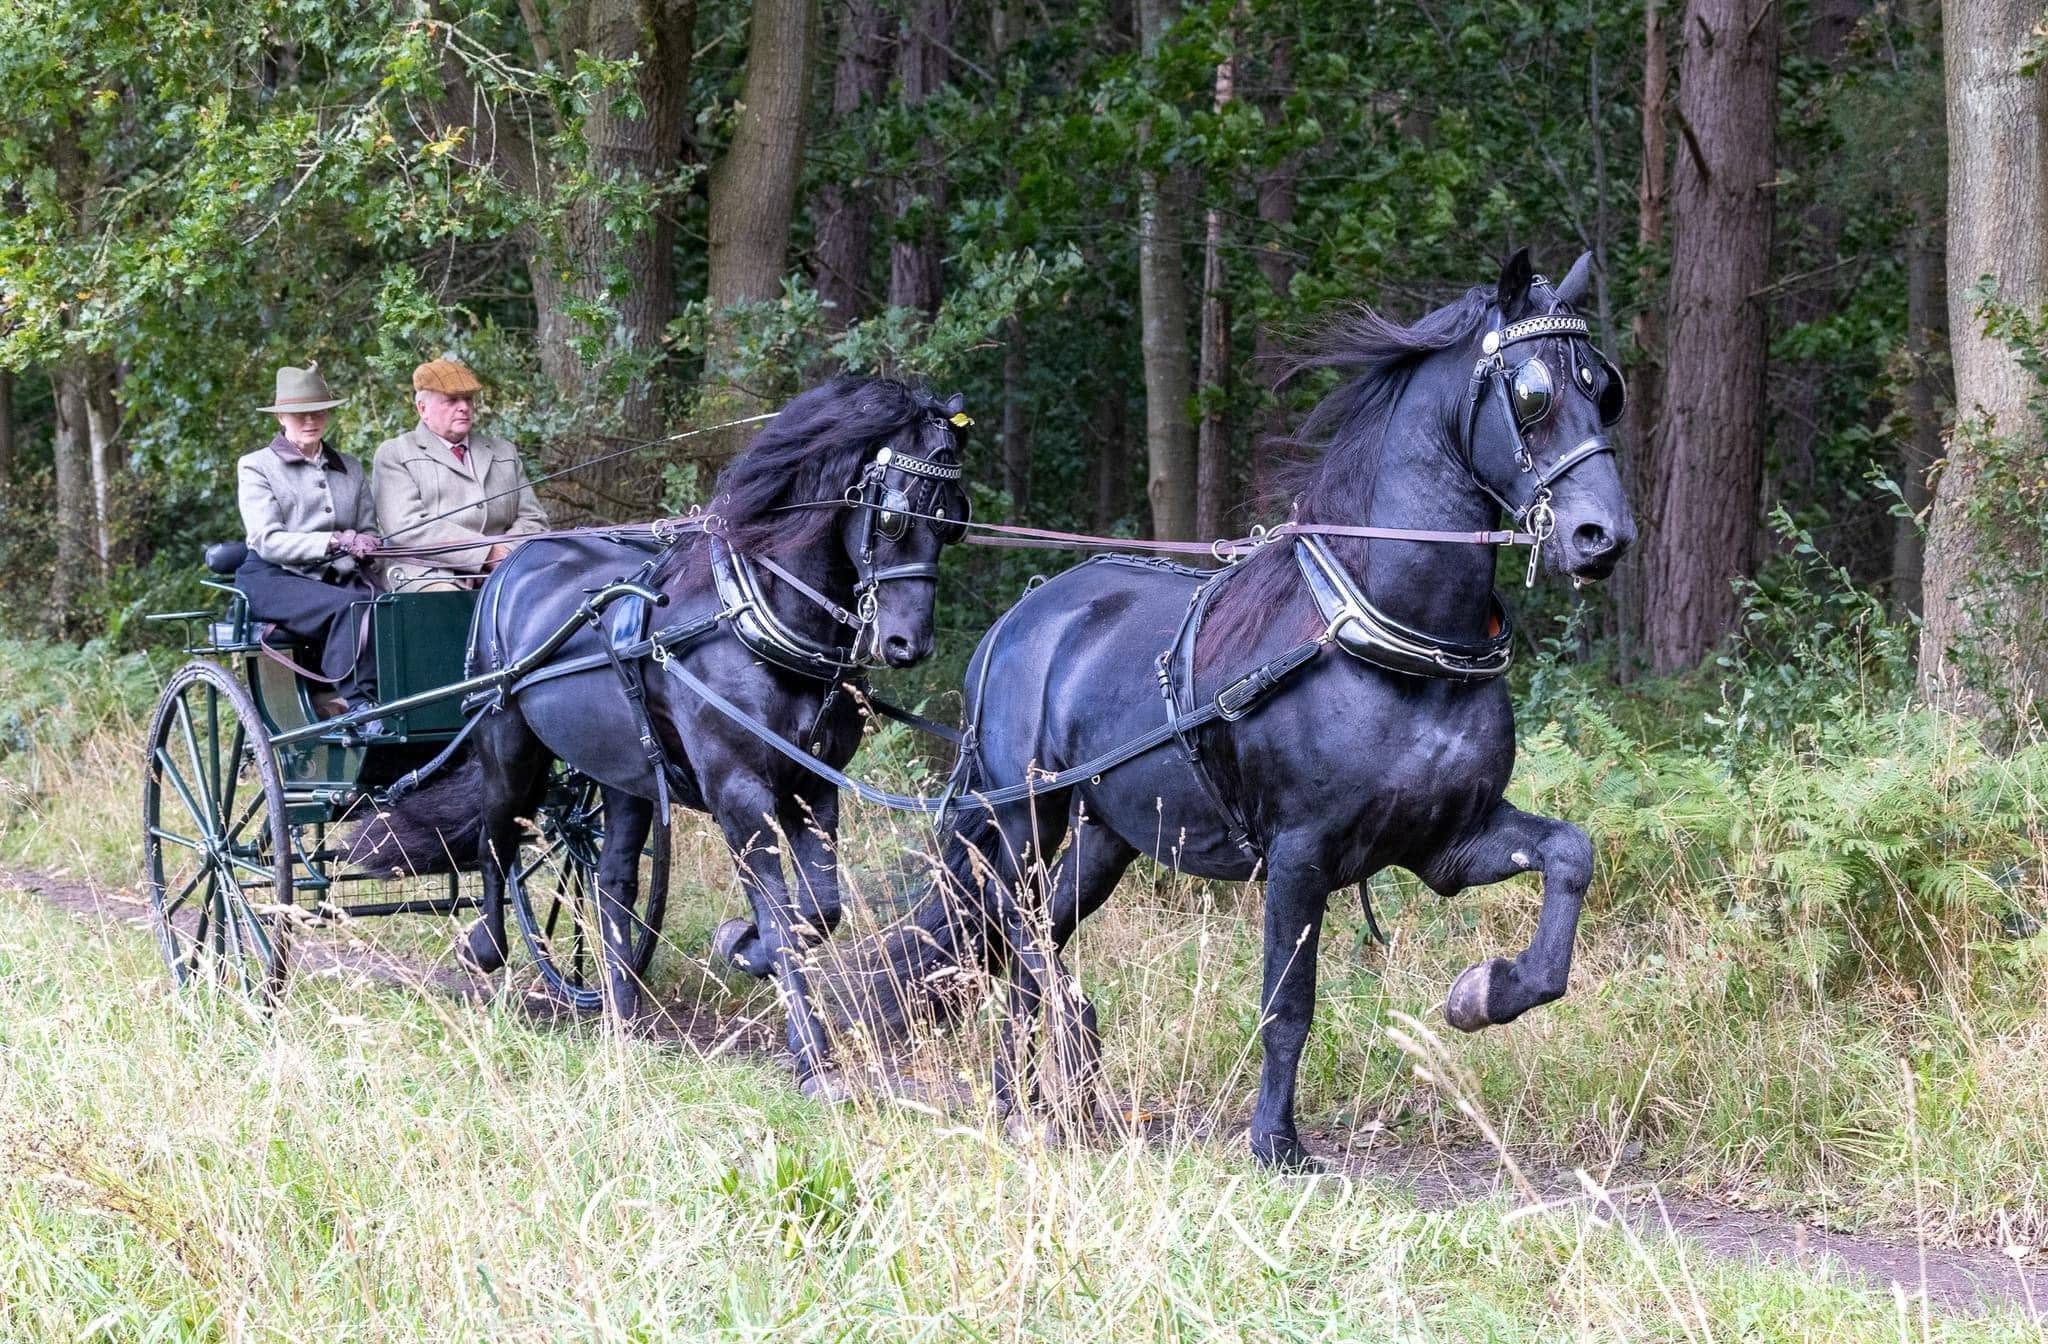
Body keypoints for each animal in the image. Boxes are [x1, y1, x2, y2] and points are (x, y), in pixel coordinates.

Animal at [359, 376, 971, 1095]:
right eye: (894, 514)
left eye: (953, 518)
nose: (907, 644)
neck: (757, 621)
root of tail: (516, 561)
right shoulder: (740, 793)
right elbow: (781, 916)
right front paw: (811, 1054)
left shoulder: (812, 786)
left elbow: (818, 912)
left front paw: (741, 946)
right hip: (506, 739)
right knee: (496, 836)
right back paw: (485, 947)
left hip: (620, 773)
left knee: (611, 879)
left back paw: (622, 1012)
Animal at [837, 252, 1635, 1167]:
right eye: (1532, 392)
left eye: (1603, 387)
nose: (1602, 537)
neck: (1402, 640)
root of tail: (1020, 618)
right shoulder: (1301, 852)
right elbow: (1287, 1005)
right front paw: (1275, 1144)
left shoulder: (1447, 841)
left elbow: (1569, 856)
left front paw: (1487, 992)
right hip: (1023, 813)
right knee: (1016, 923)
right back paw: (1064, 1060)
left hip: (1108, 835)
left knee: (1028, 938)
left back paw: (1019, 1103)